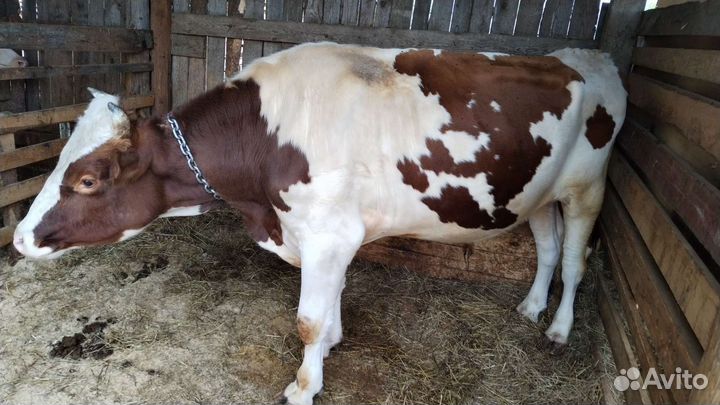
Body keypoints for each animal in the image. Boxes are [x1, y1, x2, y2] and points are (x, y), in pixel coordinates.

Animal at [12, 42, 626, 405]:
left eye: (87, 180)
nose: (18, 238)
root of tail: (589, 55)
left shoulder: (329, 234)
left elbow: (306, 319)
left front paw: (304, 386)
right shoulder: (328, 235)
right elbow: (330, 303)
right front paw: (331, 345)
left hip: (587, 187)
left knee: (575, 260)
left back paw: (558, 328)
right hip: (538, 193)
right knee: (548, 249)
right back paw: (530, 307)